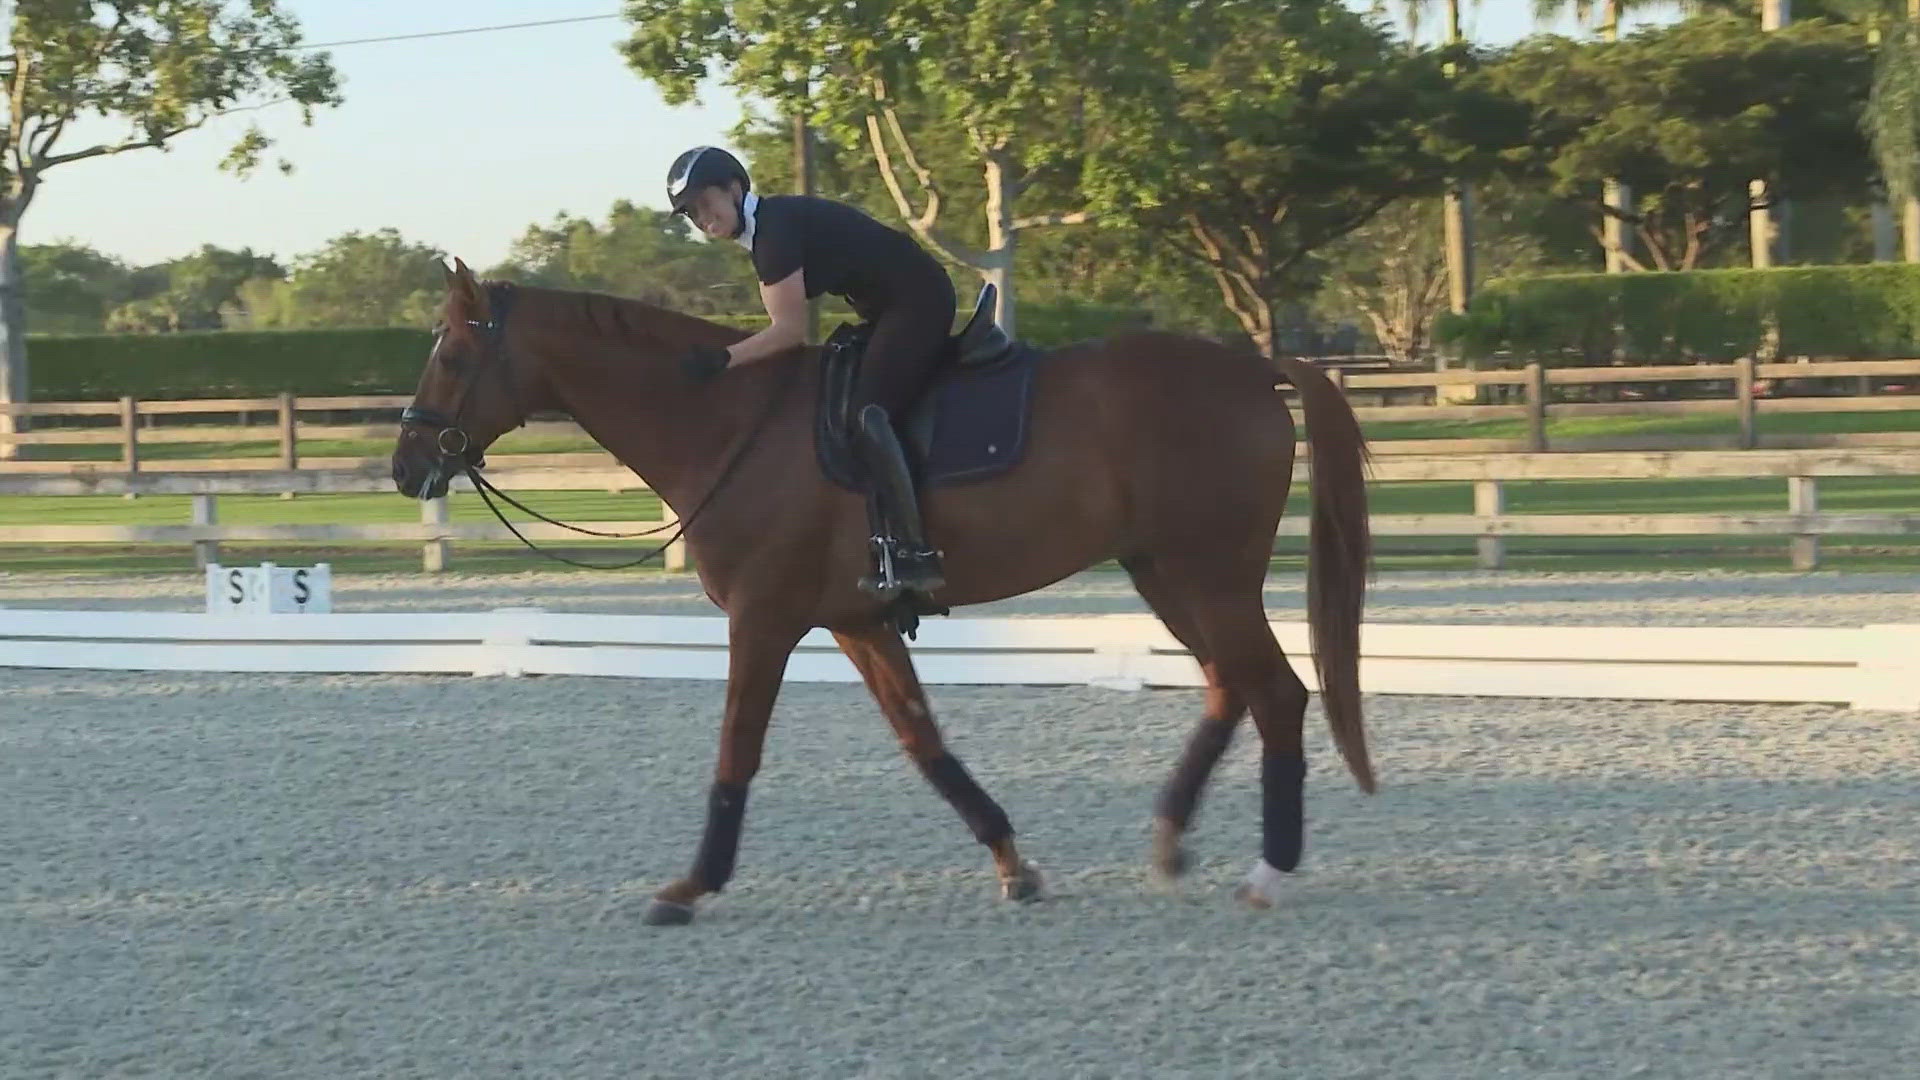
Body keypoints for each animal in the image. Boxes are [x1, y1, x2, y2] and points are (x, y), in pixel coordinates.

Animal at [393, 255, 1382, 922]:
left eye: (452, 355)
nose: (407, 468)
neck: (729, 423)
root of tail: (1253, 366)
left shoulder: (763, 619)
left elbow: (736, 750)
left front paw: (691, 885)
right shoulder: (854, 620)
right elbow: (922, 740)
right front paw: (1012, 863)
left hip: (1210, 577)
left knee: (1277, 694)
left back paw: (1268, 872)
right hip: (1164, 572)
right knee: (1228, 688)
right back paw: (1174, 839)